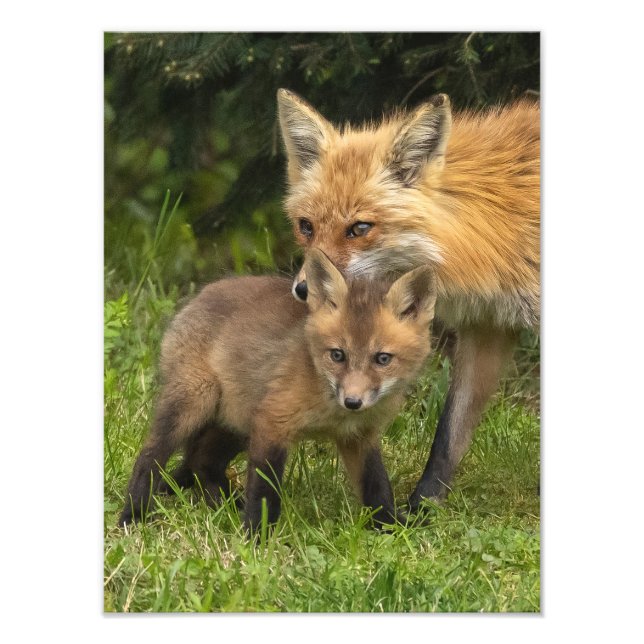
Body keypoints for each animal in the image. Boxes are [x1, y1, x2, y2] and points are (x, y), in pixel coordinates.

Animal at [118, 249, 438, 532]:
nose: (352, 401)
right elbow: (264, 492)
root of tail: (200, 295)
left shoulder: (360, 436)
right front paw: (256, 537)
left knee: (201, 462)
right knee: (150, 457)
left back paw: (225, 504)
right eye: (338, 355)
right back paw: (133, 515)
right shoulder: (273, 421)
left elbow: (377, 486)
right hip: (197, 402)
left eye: (382, 359)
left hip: (237, 422)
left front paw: (390, 526)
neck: (331, 410)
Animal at [276, 88, 540, 511]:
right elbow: (449, 434)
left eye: (359, 228)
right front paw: (423, 508)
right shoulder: (487, 326)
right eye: (306, 227)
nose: (303, 289)